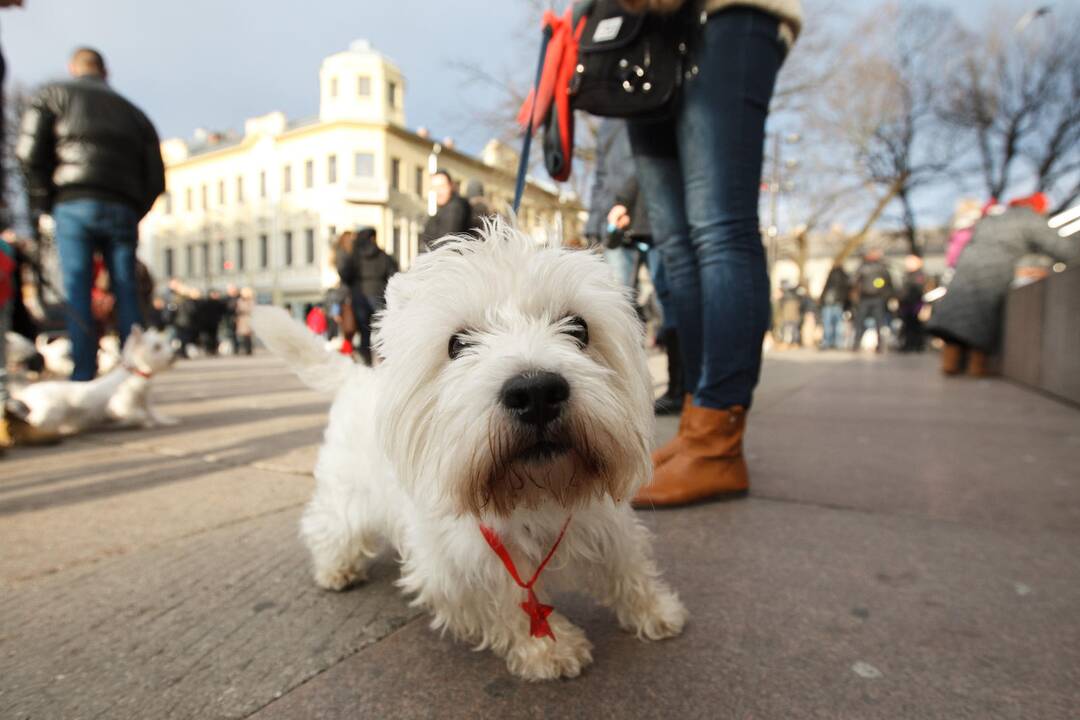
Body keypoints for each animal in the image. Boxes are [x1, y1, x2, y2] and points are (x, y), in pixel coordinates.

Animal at [13, 325, 178, 436]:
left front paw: (165, 421)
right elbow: (139, 414)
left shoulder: (146, 401)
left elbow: (152, 413)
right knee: (31, 420)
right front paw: (143, 422)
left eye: (165, 343)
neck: (133, 374)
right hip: (50, 412)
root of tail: (25, 392)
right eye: (157, 347)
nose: (174, 354)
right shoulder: (119, 406)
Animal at [252, 221, 682, 682]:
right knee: (329, 522)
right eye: (456, 344)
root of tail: (355, 376)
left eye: (579, 328)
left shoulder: (604, 521)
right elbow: (508, 605)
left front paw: (657, 610)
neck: (534, 495)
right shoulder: (460, 565)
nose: (536, 392)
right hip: (346, 488)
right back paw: (336, 569)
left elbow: (628, 566)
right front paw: (548, 649)